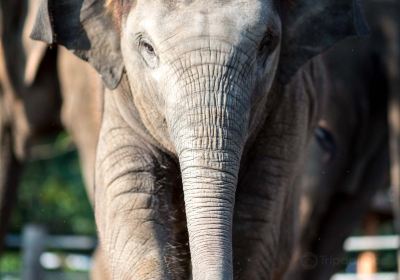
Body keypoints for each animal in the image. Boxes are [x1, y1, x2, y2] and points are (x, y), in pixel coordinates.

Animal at [32, 0, 368, 280]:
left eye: (267, 43)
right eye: (147, 47)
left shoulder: (288, 111)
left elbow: (256, 223)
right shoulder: (121, 106)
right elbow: (136, 211)